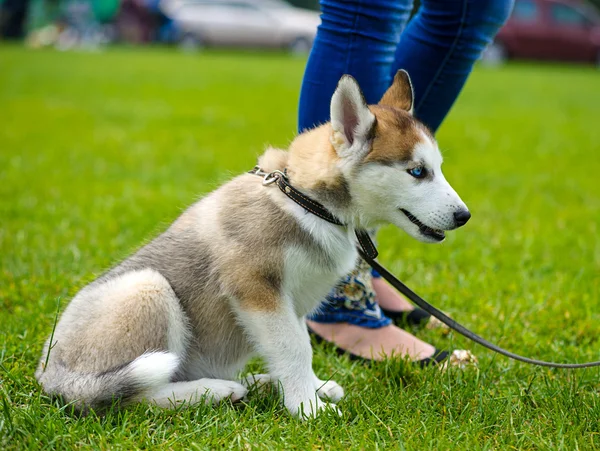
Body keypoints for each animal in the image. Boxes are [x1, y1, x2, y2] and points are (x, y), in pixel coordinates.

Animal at [36, 70, 468, 420]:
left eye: (438, 168)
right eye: (417, 172)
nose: (463, 216)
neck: (307, 203)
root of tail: (51, 375)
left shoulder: (292, 300)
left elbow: (298, 345)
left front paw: (310, 389)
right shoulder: (256, 287)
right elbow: (294, 348)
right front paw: (307, 408)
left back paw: (258, 383)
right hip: (147, 288)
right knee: (130, 398)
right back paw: (214, 391)